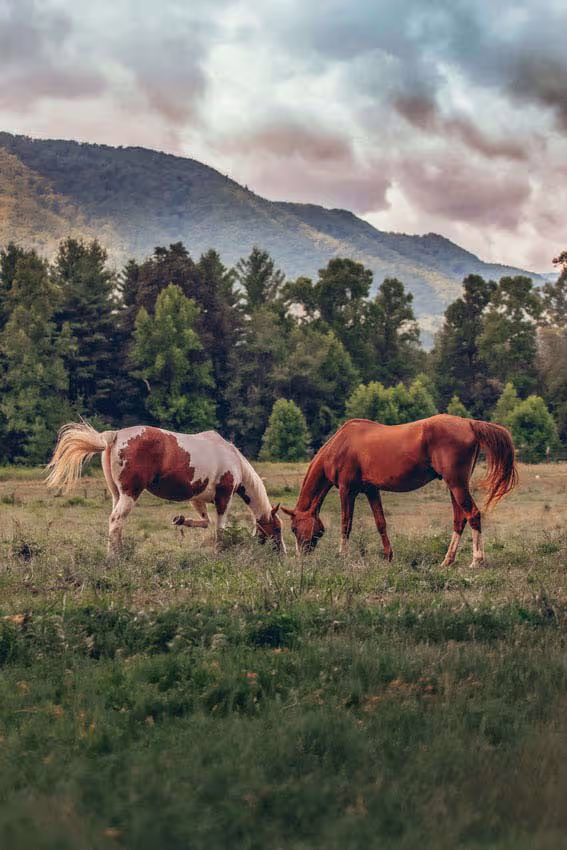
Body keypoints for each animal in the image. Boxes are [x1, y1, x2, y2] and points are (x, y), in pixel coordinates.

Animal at [47, 422, 285, 556]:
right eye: (277, 529)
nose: (282, 554)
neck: (233, 459)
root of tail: (114, 435)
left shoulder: (197, 499)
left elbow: (205, 522)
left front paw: (180, 520)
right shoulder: (223, 498)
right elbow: (220, 528)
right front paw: (220, 553)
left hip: (116, 494)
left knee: (116, 522)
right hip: (130, 494)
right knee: (116, 521)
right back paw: (115, 558)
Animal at [281, 415, 517, 567]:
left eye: (293, 528)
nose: (301, 557)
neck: (341, 445)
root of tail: (468, 423)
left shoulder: (347, 490)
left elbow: (346, 523)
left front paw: (343, 555)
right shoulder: (371, 490)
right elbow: (381, 523)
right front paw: (388, 556)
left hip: (457, 484)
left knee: (473, 515)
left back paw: (477, 560)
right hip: (455, 486)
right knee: (460, 519)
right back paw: (447, 561)